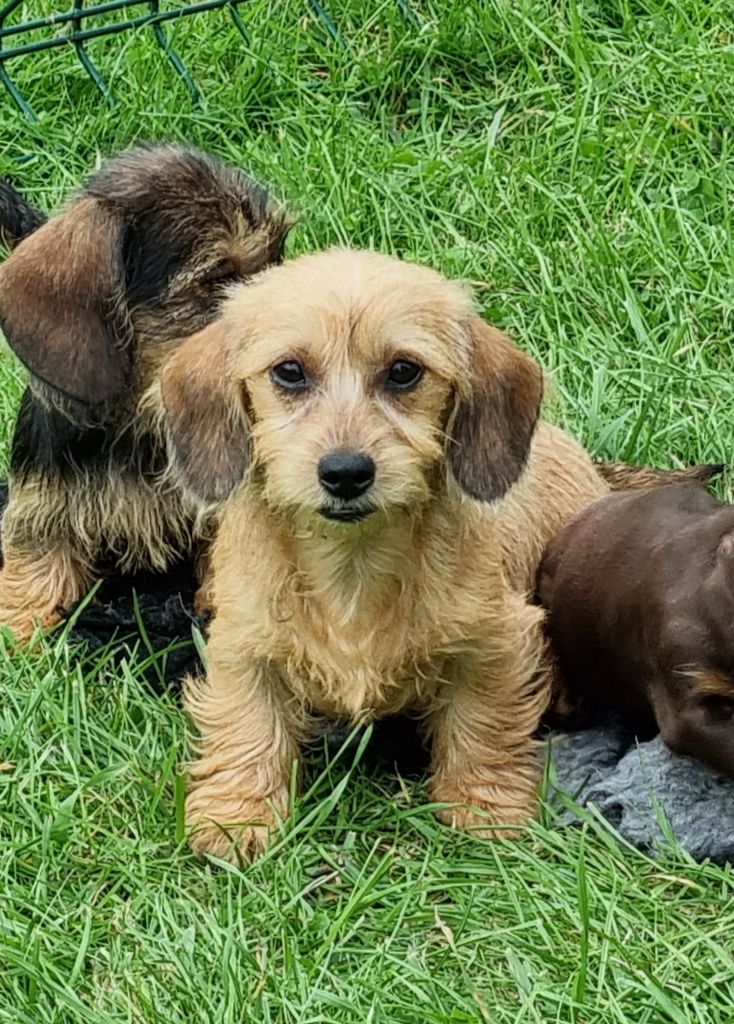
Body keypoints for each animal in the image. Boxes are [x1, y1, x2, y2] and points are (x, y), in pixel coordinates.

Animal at [0, 144, 288, 638]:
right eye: (217, 279)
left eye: (277, 258)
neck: (144, 423)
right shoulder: (44, 509)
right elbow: (34, 574)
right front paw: (20, 634)